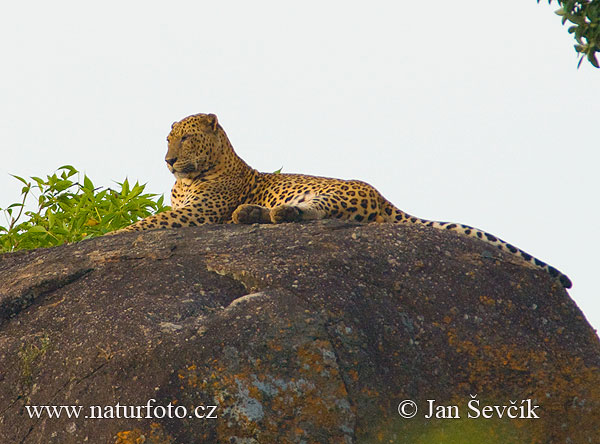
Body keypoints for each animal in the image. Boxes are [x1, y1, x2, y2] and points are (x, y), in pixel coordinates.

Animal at [116, 112, 572, 288]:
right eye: (168, 139)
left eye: (186, 138)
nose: (168, 160)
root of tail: (384, 199)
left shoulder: (198, 212)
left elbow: (149, 223)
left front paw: (106, 238)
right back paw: (250, 212)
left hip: (331, 192)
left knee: (309, 214)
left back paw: (261, 211)